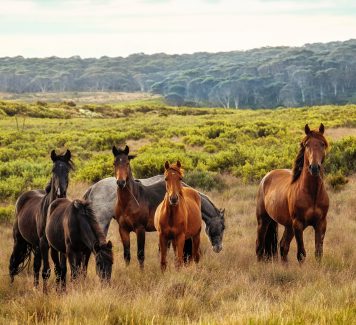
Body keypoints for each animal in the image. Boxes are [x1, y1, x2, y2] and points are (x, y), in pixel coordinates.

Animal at [256, 123, 328, 262]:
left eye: (322, 144)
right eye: (306, 145)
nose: (314, 168)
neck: (312, 194)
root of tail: (266, 177)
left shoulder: (321, 224)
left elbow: (319, 253)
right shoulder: (298, 225)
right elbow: (301, 254)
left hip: (288, 226)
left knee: (283, 246)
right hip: (263, 221)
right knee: (259, 247)